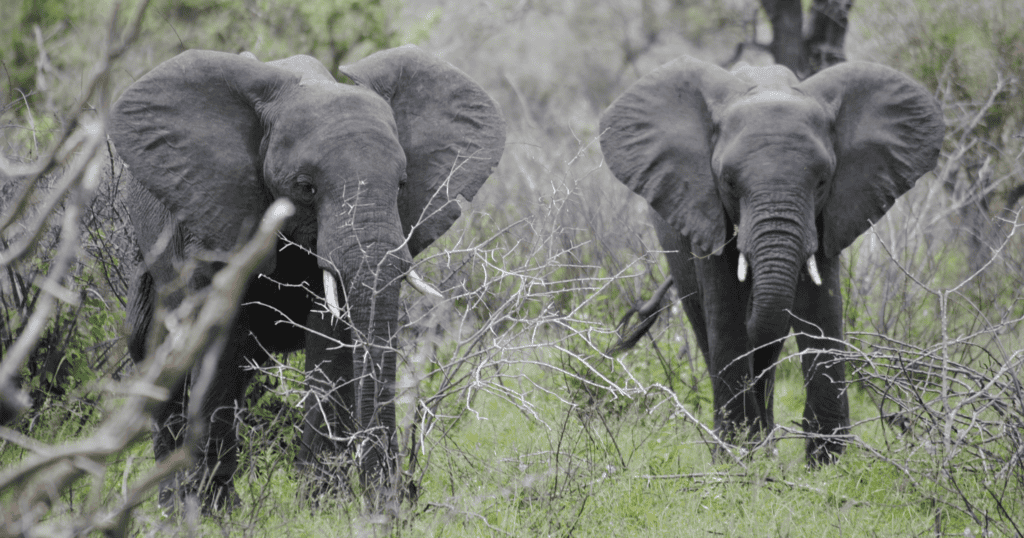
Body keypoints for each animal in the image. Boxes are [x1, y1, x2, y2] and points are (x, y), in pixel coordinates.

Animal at [110, 46, 505, 508]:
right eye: (305, 187)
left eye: (402, 183)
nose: (397, 500)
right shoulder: (212, 219)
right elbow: (217, 340)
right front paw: (214, 512)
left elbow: (331, 342)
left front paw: (322, 508)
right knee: (156, 351)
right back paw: (173, 503)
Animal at [598, 56, 942, 463]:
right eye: (729, 182)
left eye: (822, 181)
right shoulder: (703, 206)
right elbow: (726, 309)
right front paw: (736, 459)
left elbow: (819, 306)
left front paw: (828, 462)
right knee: (705, 326)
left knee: (770, 345)